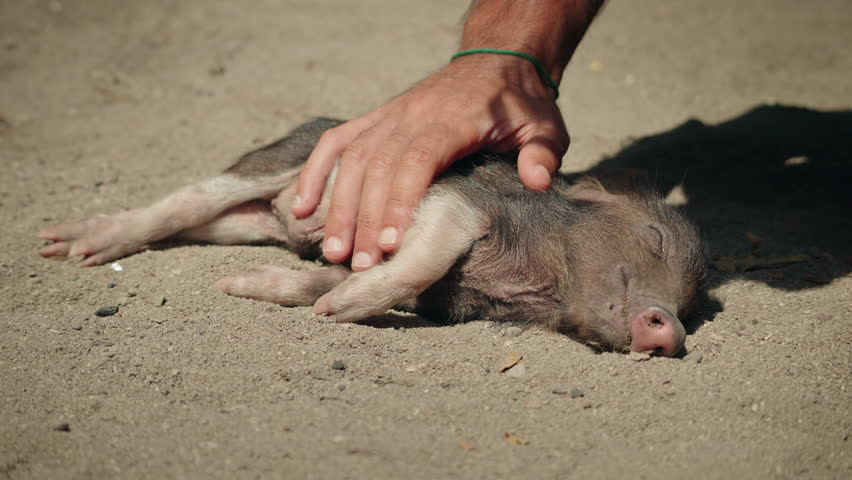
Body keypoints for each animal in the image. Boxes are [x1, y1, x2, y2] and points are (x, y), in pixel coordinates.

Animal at [39, 118, 707, 356]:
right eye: (654, 237)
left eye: (691, 304)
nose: (669, 329)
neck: (530, 284)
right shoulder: (455, 202)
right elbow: (423, 258)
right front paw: (339, 310)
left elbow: (328, 278)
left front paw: (246, 287)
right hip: (281, 159)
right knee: (186, 197)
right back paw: (67, 245)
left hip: (248, 218)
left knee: (207, 220)